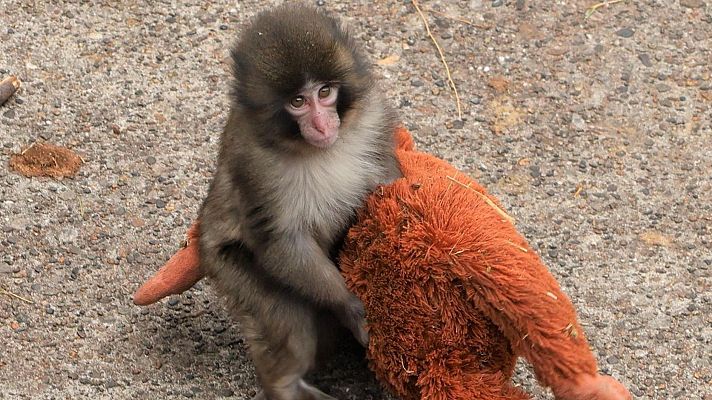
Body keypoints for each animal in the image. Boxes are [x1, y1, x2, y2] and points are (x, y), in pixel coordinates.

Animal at [197, 4, 401, 400]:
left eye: (325, 92)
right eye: (297, 102)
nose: (322, 125)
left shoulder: (373, 118)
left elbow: (387, 178)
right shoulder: (254, 164)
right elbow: (280, 241)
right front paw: (350, 306)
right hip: (227, 266)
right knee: (290, 318)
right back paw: (284, 383)